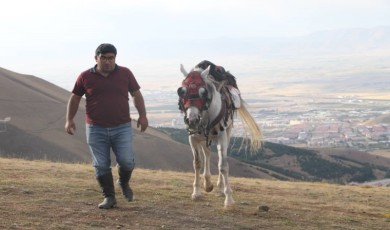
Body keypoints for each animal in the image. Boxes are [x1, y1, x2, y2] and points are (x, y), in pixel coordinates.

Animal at [177, 63, 262, 208]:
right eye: (181, 91)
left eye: (203, 92)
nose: (192, 120)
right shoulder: (192, 138)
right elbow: (197, 163)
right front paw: (196, 192)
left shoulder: (221, 137)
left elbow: (223, 166)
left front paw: (228, 199)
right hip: (204, 137)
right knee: (207, 154)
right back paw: (207, 183)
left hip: (226, 133)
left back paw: (220, 188)